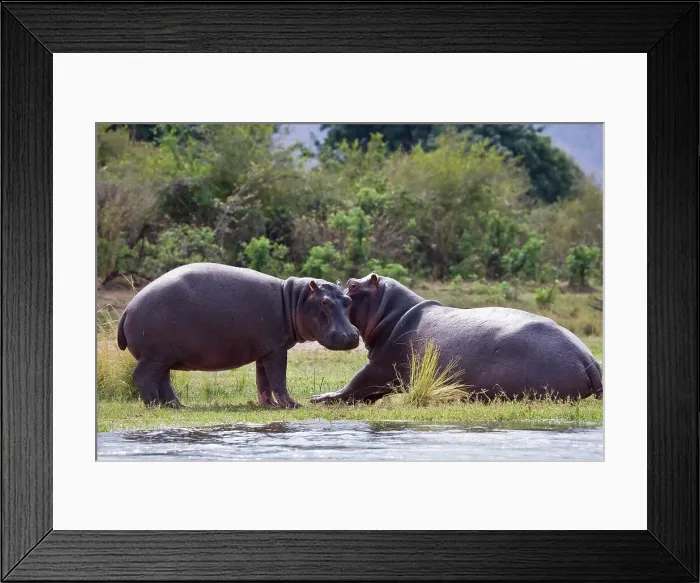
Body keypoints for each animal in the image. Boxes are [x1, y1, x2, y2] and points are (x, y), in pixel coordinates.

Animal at [117, 263, 359, 408]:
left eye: (349, 300)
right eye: (325, 302)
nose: (350, 336)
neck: (294, 299)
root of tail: (128, 308)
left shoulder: (266, 351)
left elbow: (264, 381)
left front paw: (269, 405)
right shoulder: (276, 350)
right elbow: (278, 379)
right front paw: (292, 404)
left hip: (164, 357)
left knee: (163, 379)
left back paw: (177, 406)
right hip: (153, 356)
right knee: (143, 377)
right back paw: (154, 405)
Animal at [310, 273, 602, 404]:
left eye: (353, 285)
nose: (339, 280)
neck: (389, 312)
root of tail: (587, 358)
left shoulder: (380, 366)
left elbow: (356, 383)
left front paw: (319, 397)